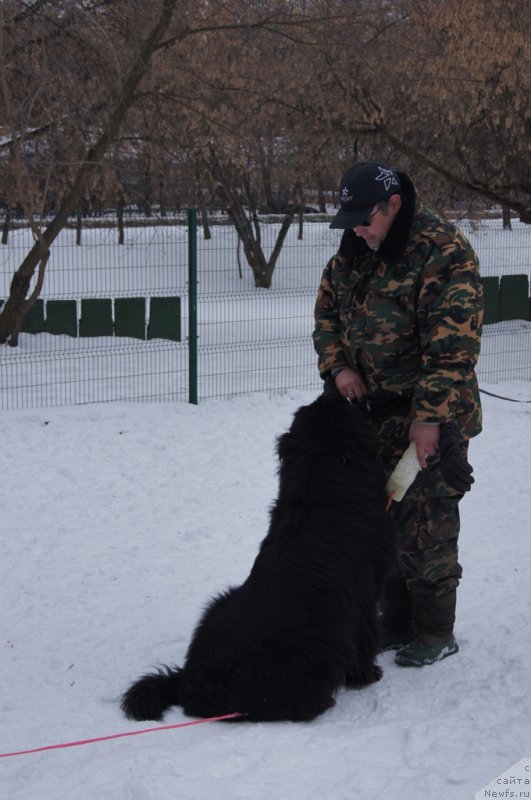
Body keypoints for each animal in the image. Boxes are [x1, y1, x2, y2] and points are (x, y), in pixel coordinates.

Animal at [119, 388, 394, 724]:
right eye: (342, 406)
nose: (331, 388)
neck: (323, 469)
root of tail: (188, 683)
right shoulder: (368, 591)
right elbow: (367, 634)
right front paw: (367, 674)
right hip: (317, 648)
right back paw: (321, 702)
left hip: (220, 600)